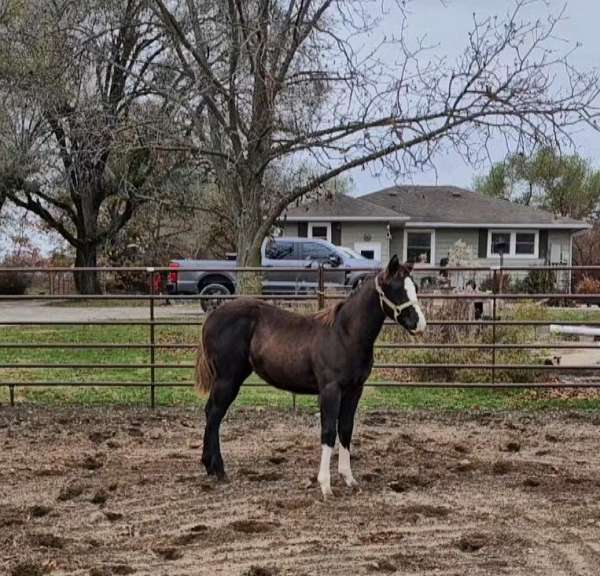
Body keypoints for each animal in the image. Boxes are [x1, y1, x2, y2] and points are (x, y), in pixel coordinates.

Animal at [195, 254, 424, 498]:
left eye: (414, 287)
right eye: (397, 288)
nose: (419, 324)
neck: (345, 334)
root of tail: (211, 316)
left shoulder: (354, 390)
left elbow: (346, 429)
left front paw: (349, 478)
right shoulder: (330, 390)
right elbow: (328, 431)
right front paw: (325, 485)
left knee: (211, 413)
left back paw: (210, 467)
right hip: (228, 379)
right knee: (214, 414)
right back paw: (218, 470)